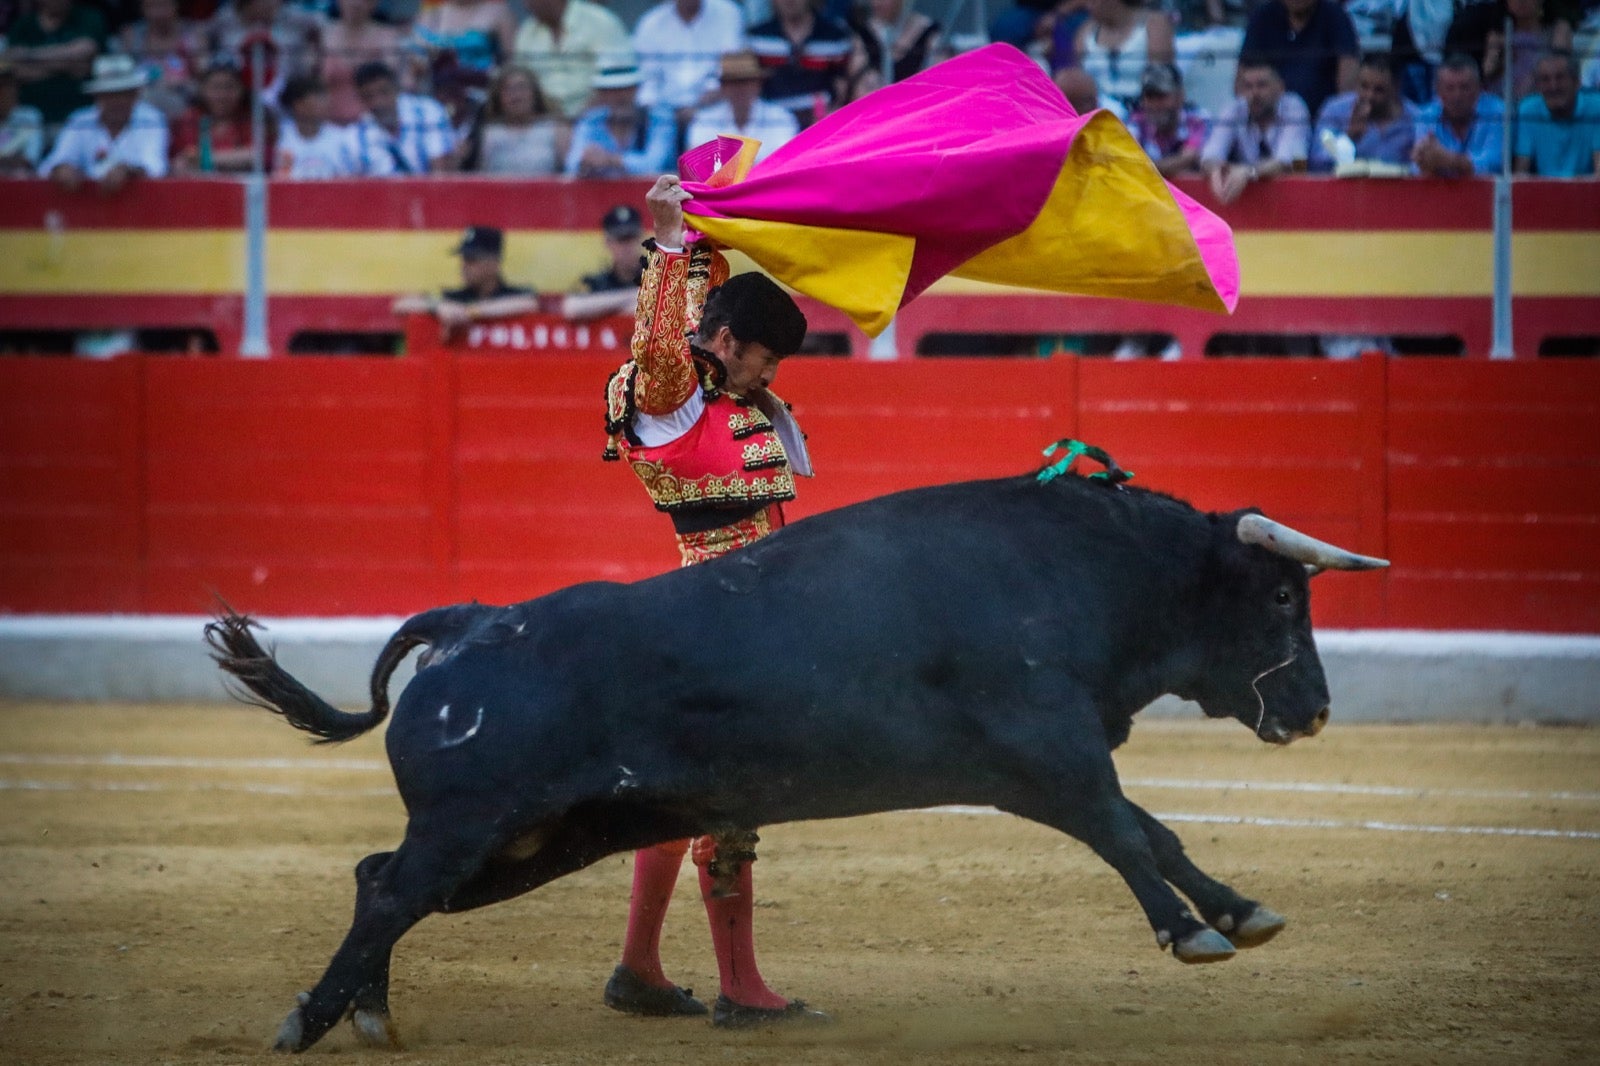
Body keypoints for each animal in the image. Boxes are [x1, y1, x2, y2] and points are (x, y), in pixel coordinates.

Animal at [209, 470, 1388, 1043]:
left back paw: (367, 1013)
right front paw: (1192, 934)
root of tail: (470, 622)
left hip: (531, 840)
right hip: (477, 826)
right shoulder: (1049, 752)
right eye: (1281, 598)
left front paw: (1240, 911)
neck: (1081, 570)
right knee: (385, 892)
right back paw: (308, 1020)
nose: (1317, 711)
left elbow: (1156, 830)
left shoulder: (1042, 767)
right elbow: (1124, 834)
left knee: (381, 881)